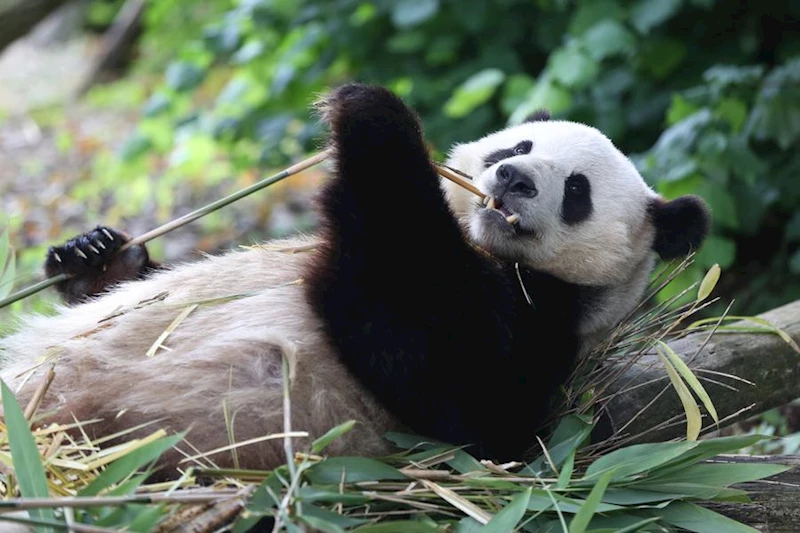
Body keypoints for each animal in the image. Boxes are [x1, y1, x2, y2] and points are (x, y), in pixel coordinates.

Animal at [0, 84, 708, 474]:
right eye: (519, 147)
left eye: (578, 192)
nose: (513, 180)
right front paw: (97, 256)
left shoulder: (540, 333)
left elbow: (448, 378)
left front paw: (373, 113)